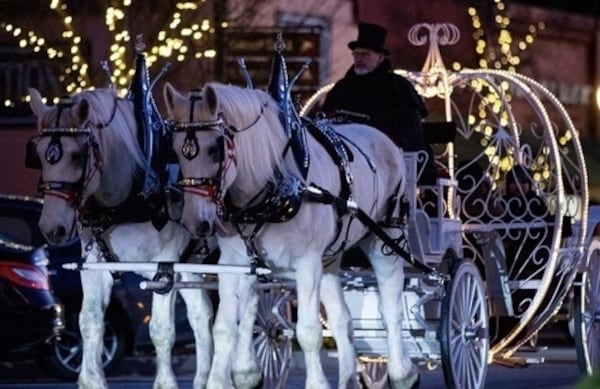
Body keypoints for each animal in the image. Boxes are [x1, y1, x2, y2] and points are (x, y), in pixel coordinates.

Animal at [29, 88, 216, 388]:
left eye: (77, 155)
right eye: (37, 154)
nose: (51, 227)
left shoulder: (164, 269)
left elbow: (161, 329)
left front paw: (165, 382)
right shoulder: (95, 266)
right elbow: (89, 323)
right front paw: (91, 380)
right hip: (192, 265)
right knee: (202, 313)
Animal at [162, 82, 420, 388]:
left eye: (215, 149)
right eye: (175, 150)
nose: (195, 222)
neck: (273, 189)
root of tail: (382, 136)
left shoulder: (307, 264)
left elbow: (308, 332)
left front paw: (317, 383)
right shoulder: (234, 265)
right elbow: (224, 328)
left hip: (385, 239)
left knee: (390, 309)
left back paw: (402, 374)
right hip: (330, 258)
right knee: (342, 319)